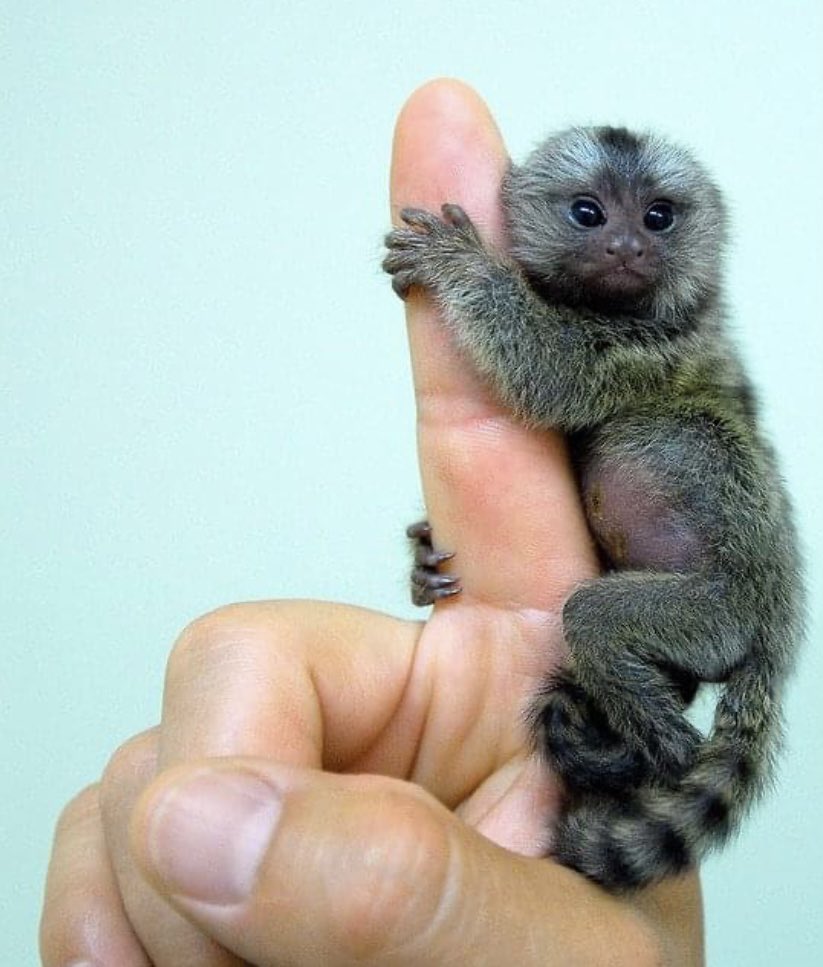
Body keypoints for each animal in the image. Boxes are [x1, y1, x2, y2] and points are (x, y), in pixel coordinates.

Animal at [382, 126, 804, 891]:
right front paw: (423, 558)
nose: (628, 247)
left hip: (717, 616)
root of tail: (776, 638)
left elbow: (550, 371)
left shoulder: (650, 348)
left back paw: (655, 746)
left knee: (597, 618)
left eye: (657, 218)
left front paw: (461, 264)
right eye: (588, 214)